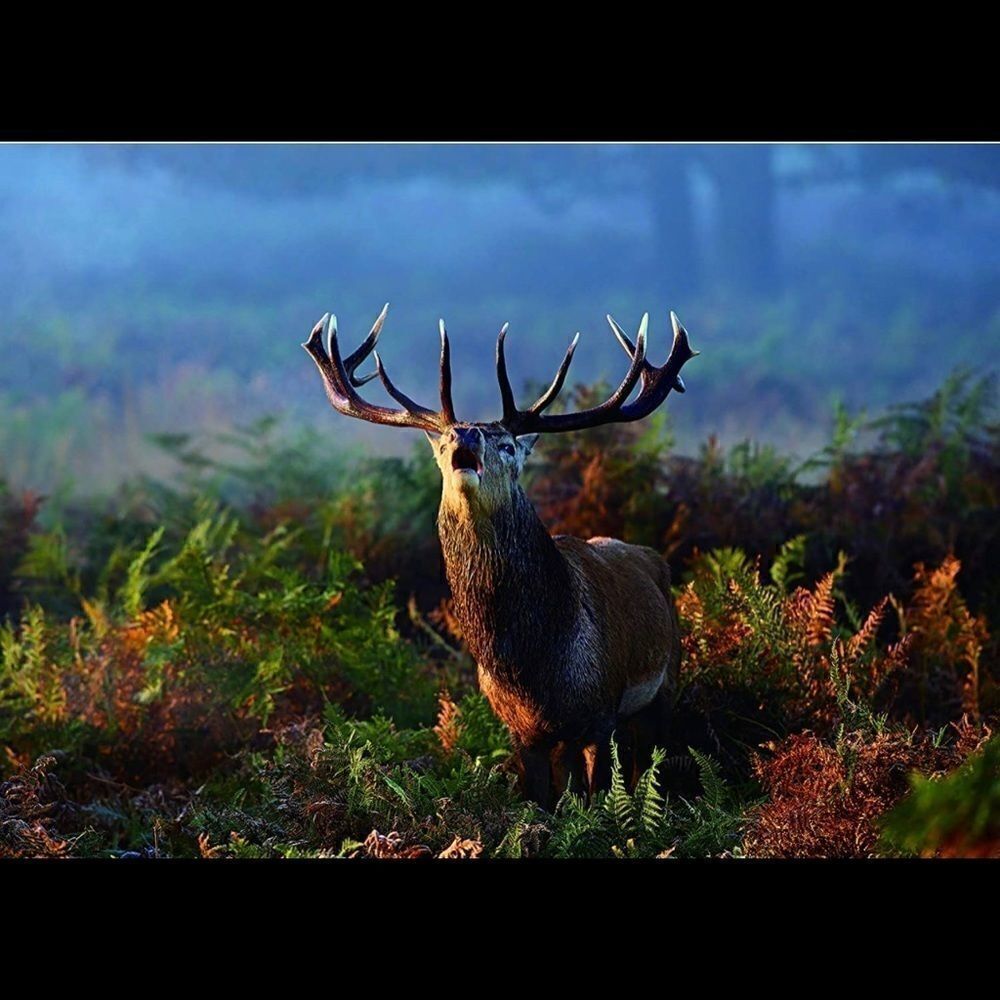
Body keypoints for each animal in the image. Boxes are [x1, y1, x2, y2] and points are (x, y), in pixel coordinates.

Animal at [302, 304, 698, 807]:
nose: (466, 434)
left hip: (665, 683)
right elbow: (541, 802)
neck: (534, 668)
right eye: (443, 441)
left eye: (507, 444)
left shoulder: (599, 713)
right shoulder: (521, 731)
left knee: (647, 761)